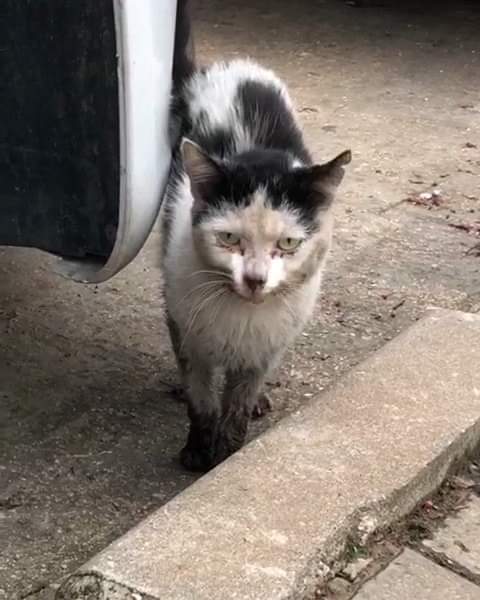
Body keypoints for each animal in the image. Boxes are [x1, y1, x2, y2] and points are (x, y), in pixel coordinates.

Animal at [159, 58, 350, 472]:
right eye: (229, 238)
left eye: (288, 243)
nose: (255, 279)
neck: (241, 313)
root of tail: (234, 64)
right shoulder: (186, 324)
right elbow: (201, 397)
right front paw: (198, 450)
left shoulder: (266, 345)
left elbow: (239, 403)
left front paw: (228, 454)